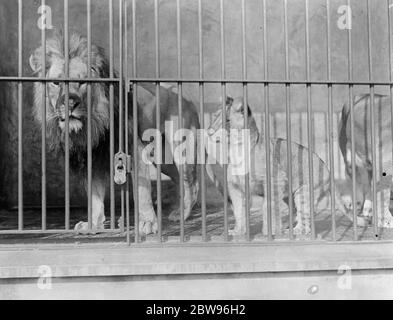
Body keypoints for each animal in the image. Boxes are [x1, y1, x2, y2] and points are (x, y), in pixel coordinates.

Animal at [29, 31, 199, 234]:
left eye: (82, 81)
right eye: (56, 82)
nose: (70, 104)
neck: (91, 124)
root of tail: (187, 96)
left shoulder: (134, 149)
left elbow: (142, 191)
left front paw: (148, 223)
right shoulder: (92, 157)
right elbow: (94, 196)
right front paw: (92, 224)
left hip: (180, 150)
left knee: (191, 183)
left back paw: (183, 214)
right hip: (162, 157)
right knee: (180, 180)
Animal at [207, 96, 366, 236]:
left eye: (227, 121)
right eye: (214, 118)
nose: (209, 132)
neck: (236, 150)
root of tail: (328, 169)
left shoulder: (275, 180)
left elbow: (269, 207)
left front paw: (269, 232)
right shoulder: (236, 188)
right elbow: (239, 212)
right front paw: (238, 232)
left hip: (304, 191)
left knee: (305, 218)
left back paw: (295, 231)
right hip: (290, 195)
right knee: (298, 213)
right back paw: (289, 227)